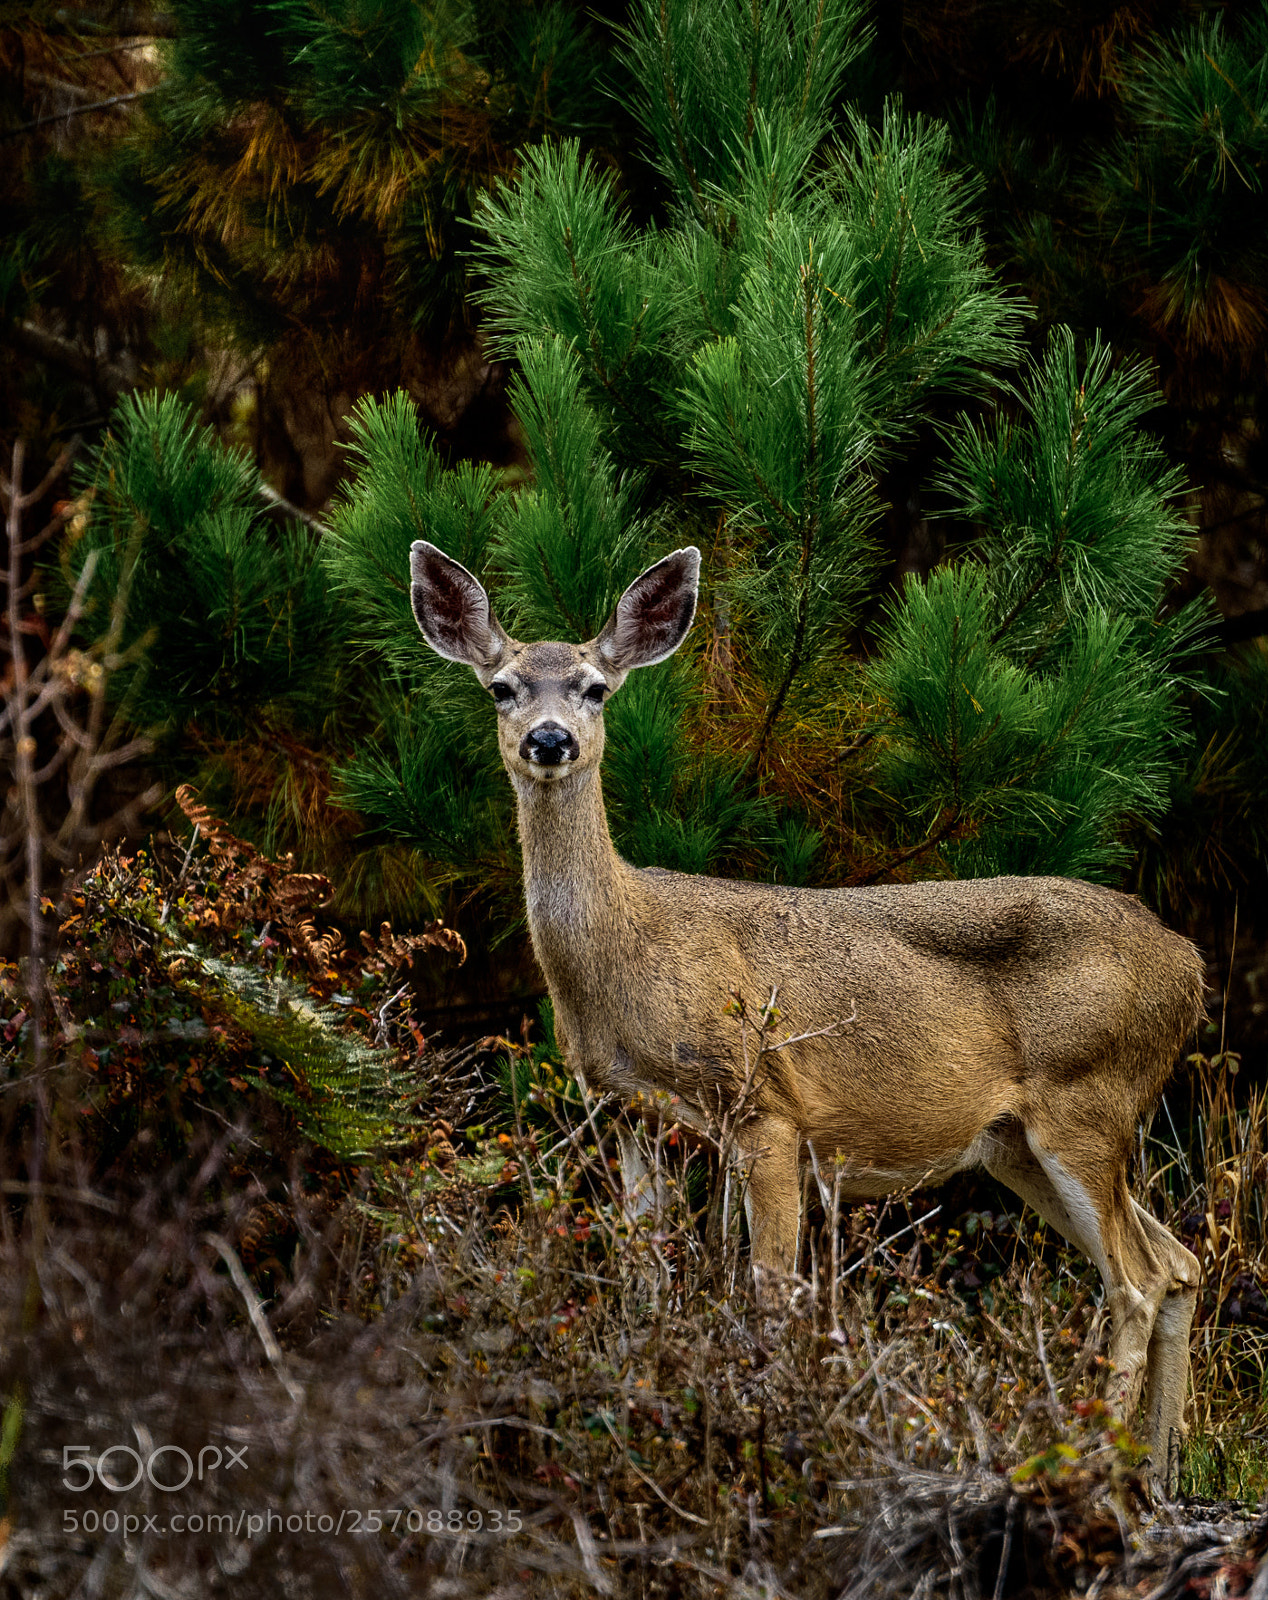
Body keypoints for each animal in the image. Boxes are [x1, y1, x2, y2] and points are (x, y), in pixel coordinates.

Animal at [408, 537, 1205, 1488]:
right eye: (503, 686)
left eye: (596, 687)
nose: (550, 739)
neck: (629, 959)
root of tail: (1189, 964)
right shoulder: (627, 1114)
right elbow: (646, 1280)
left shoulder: (768, 1111)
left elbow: (769, 1293)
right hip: (1020, 1142)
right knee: (1183, 1261)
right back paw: (1156, 1474)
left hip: (1087, 1099)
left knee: (1140, 1279)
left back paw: (1088, 1468)